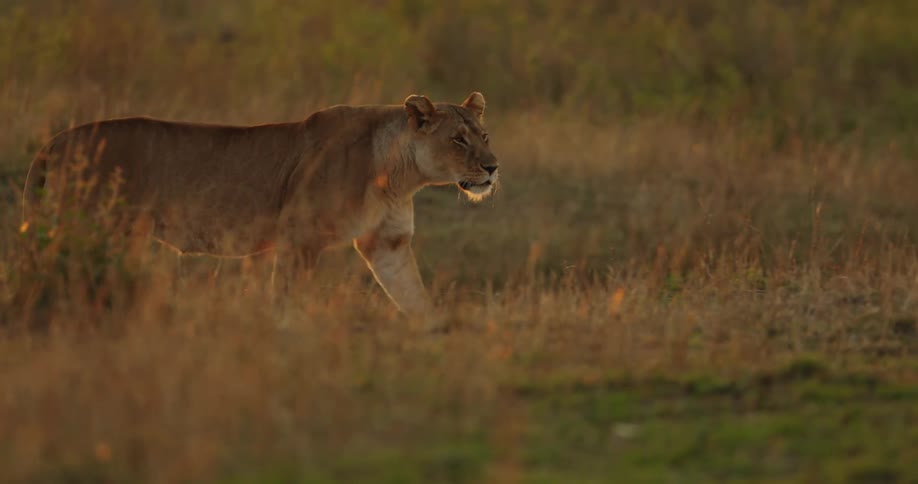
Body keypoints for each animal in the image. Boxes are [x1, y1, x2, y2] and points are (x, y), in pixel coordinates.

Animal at [22, 92, 498, 316]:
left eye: (484, 135)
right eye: (458, 140)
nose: (493, 168)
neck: (398, 176)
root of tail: (53, 142)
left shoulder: (387, 244)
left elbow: (415, 299)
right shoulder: (299, 237)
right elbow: (286, 300)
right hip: (87, 229)